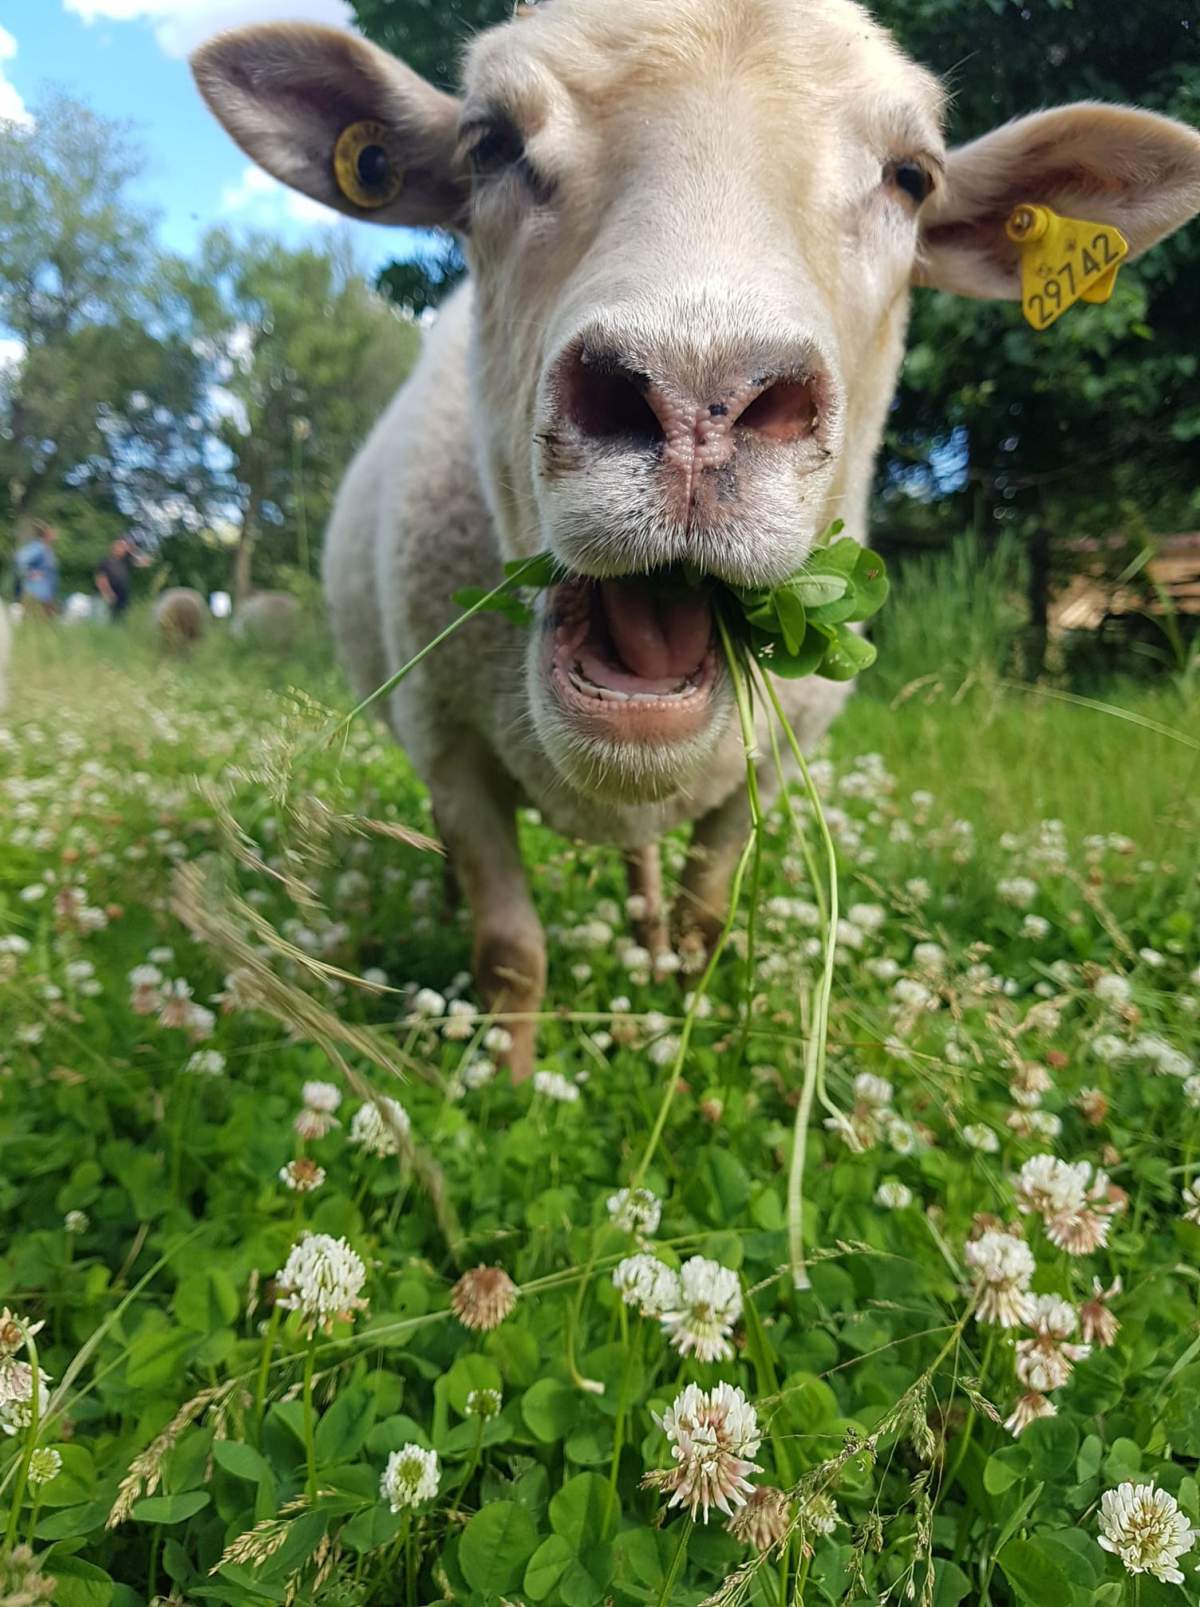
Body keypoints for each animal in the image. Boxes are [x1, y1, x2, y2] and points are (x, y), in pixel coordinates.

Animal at [193, 0, 1200, 1077]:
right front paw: (505, 1084)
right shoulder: (448, 742)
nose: (694, 402)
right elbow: (509, 949)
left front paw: (683, 1019)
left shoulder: (765, 770)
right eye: (489, 143)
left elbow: (706, 914)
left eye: (912, 177)